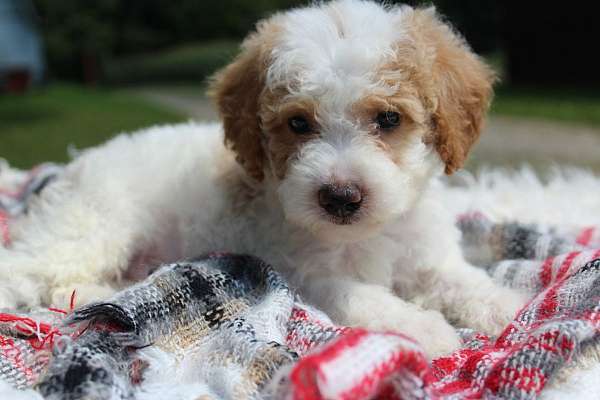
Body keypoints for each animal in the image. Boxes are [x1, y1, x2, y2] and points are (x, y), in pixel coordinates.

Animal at [0, 0, 524, 356]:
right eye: (298, 123)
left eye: (389, 119)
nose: (340, 196)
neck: (367, 233)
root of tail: (80, 163)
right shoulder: (306, 275)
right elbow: (365, 299)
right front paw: (424, 328)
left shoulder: (430, 258)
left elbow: (462, 281)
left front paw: (505, 305)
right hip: (95, 227)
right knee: (34, 269)